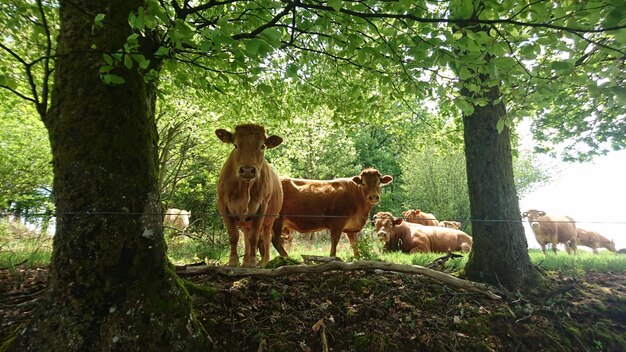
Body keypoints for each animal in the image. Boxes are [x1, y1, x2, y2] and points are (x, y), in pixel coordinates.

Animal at [216, 124, 282, 266]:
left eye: (262, 146)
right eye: (235, 145)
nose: (247, 170)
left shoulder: (262, 207)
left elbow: (254, 237)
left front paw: (252, 261)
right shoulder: (223, 205)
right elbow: (234, 235)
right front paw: (233, 261)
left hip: (270, 219)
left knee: (266, 237)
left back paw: (264, 261)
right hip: (246, 221)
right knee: (246, 236)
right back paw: (245, 261)